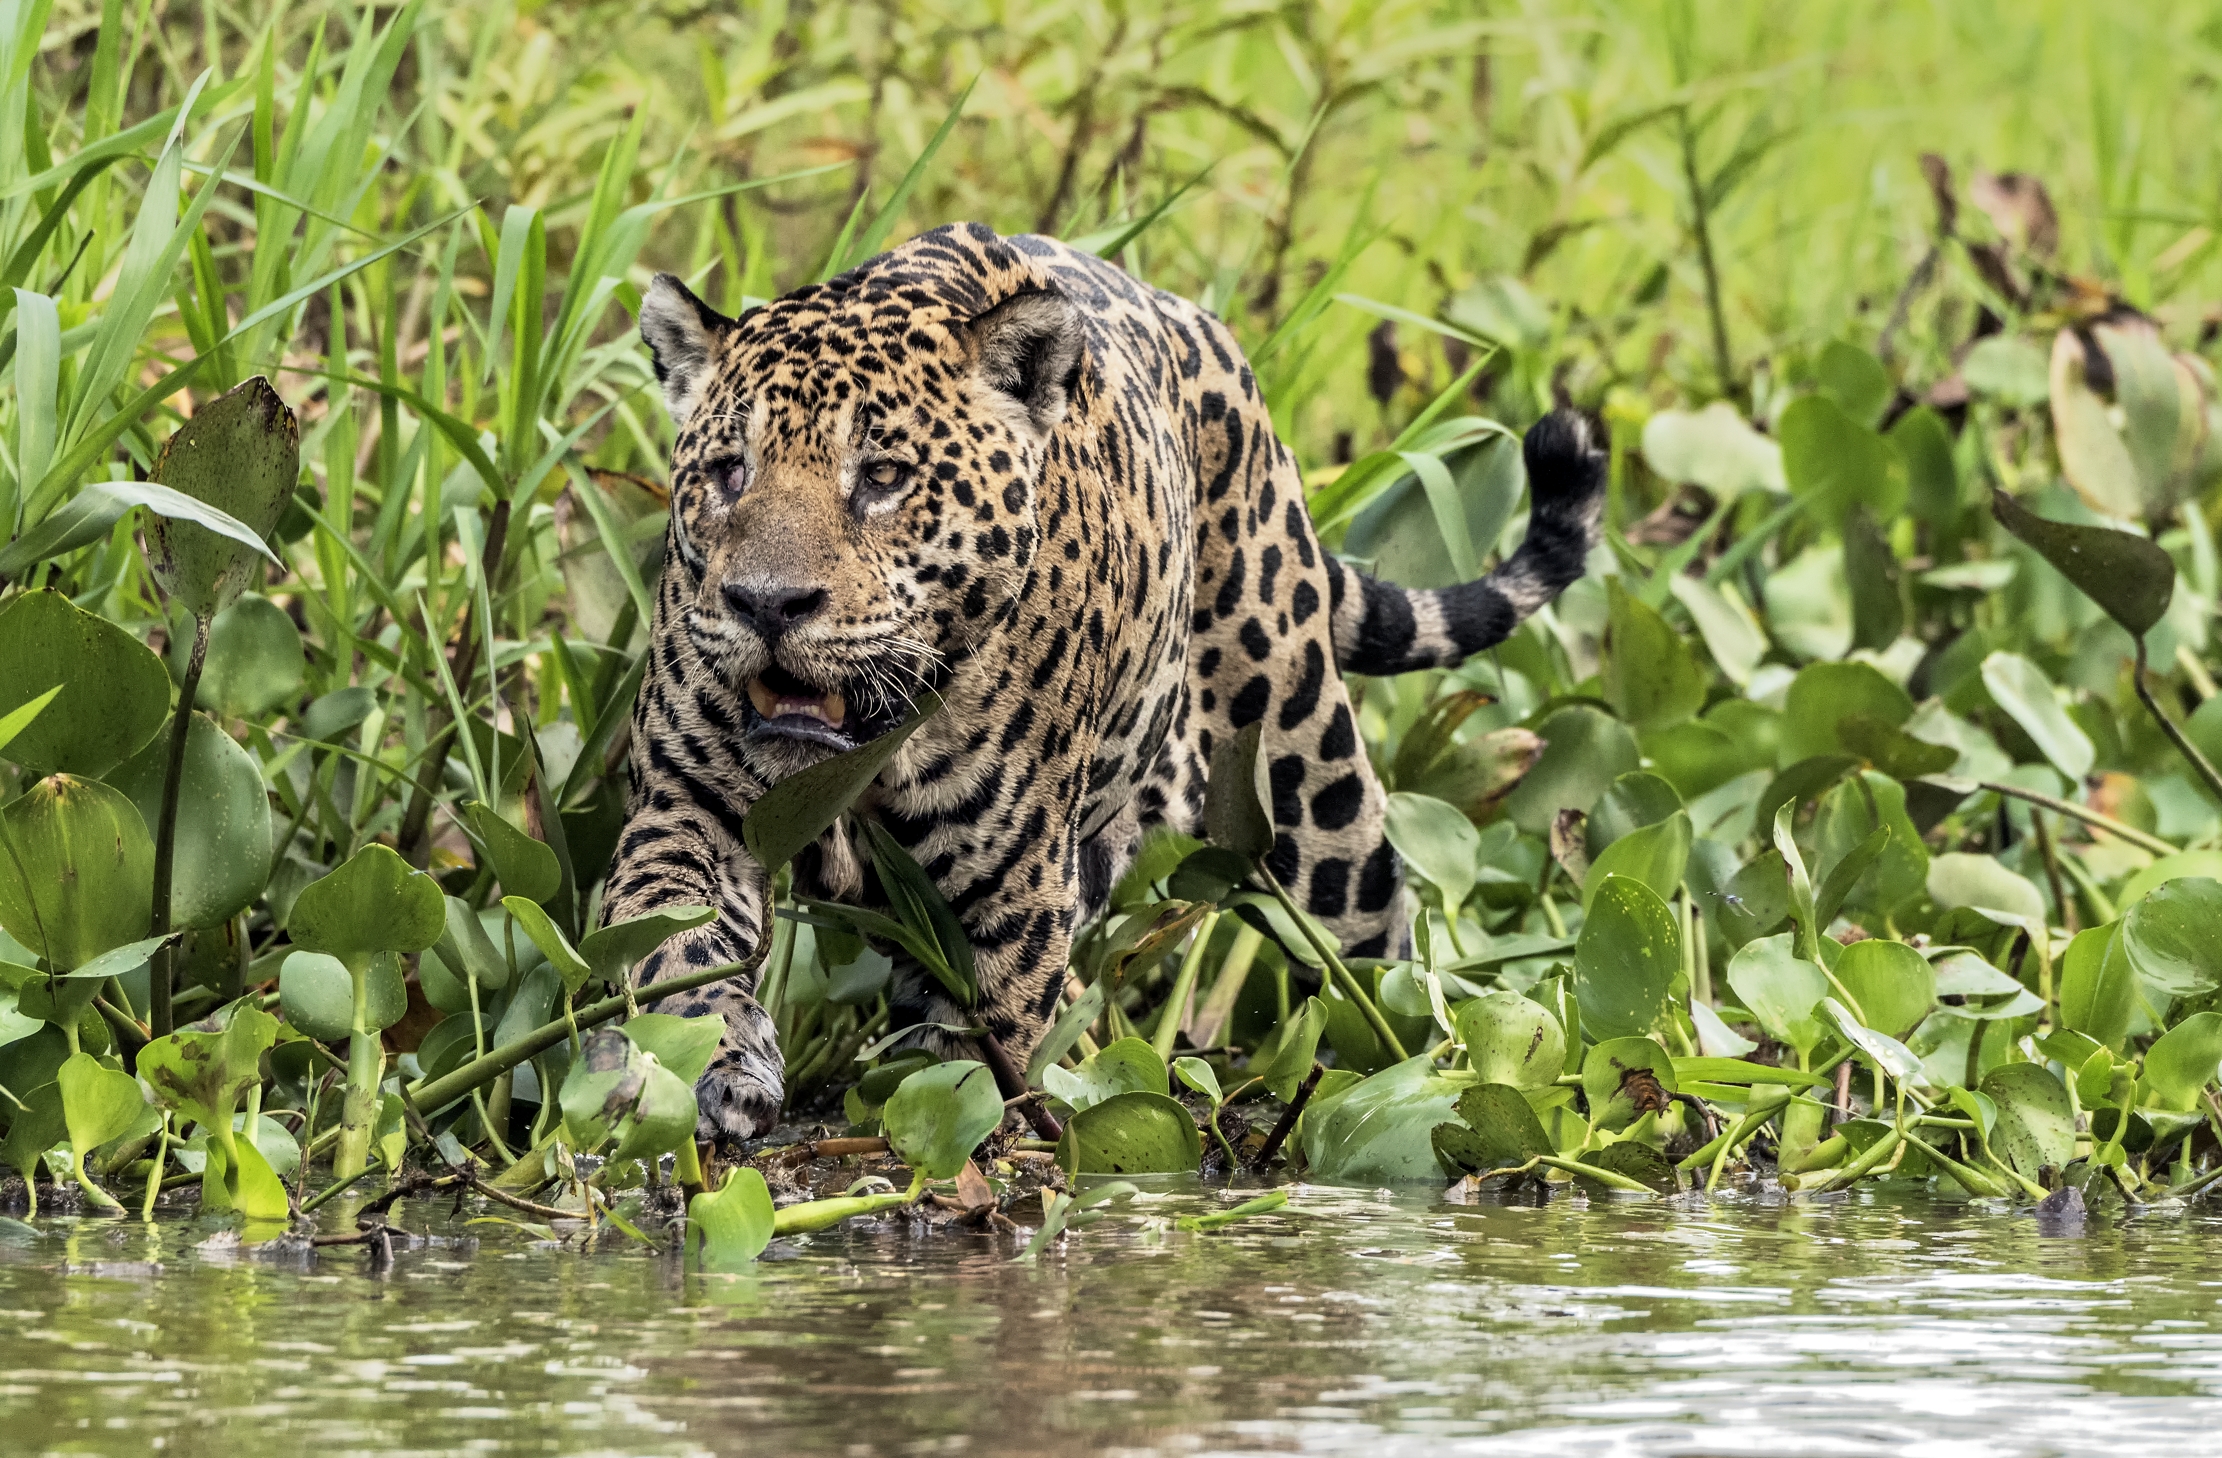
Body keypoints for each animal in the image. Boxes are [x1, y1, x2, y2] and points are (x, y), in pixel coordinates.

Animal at [606, 222, 1604, 1145]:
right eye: (728, 471)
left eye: (883, 477)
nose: (766, 604)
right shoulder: (690, 806)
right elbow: (667, 939)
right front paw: (706, 1068)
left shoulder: (1009, 894)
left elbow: (977, 1066)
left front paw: (954, 1141)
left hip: (1308, 786)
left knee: (1380, 958)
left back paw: (1412, 1077)